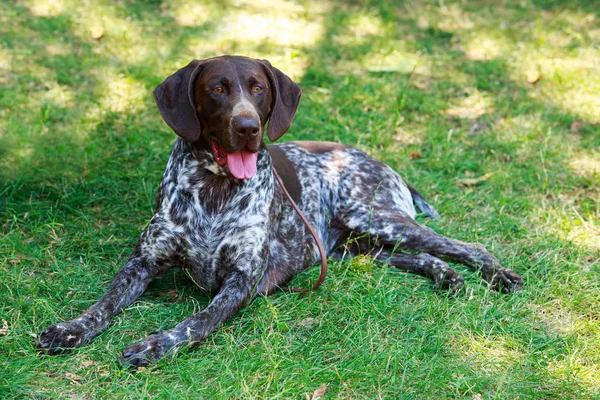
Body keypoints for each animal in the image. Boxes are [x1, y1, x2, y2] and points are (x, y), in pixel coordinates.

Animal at [37, 54, 524, 368]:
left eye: (258, 89)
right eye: (217, 89)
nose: (248, 127)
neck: (214, 190)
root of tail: (383, 164)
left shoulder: (241, 282)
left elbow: (196, 322)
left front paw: (156, 345)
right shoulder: (143, 262)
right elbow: (104, 302)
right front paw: (71, 329)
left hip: (376, 219)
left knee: (464, 244)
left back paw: (498, 274)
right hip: (357, 248)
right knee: (422, 256)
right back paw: (447, 277)